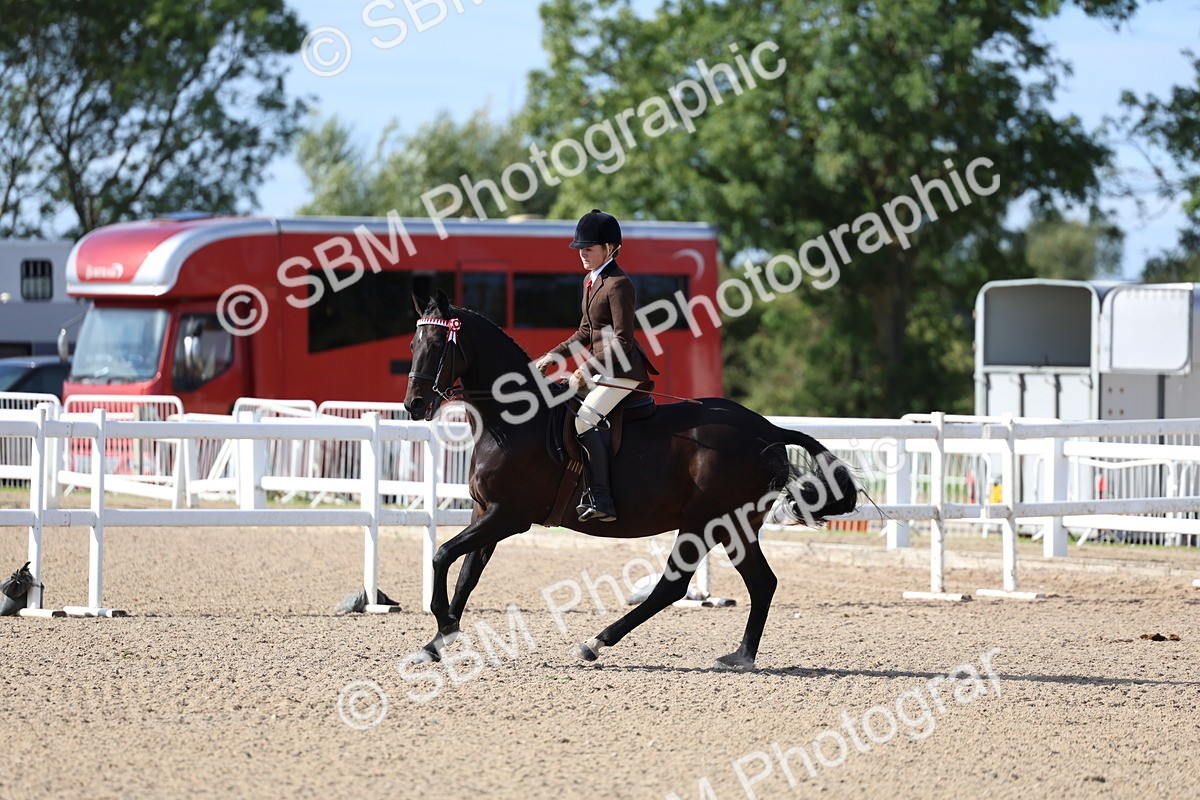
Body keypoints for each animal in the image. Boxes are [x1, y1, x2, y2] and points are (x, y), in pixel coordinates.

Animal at [403, 291, 858, 671]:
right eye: (413, 345)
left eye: (438, 345)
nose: (414, 405)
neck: (513, 420)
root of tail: (769, 430)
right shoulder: (486, 513)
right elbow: (466, 574)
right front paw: (437, 642)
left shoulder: (508, 516)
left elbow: (442, 554)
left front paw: (444, 624)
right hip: (732, 526)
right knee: (758, 583)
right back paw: (738, 656)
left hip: (710, 522)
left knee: (677, 586)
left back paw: (596, 643)